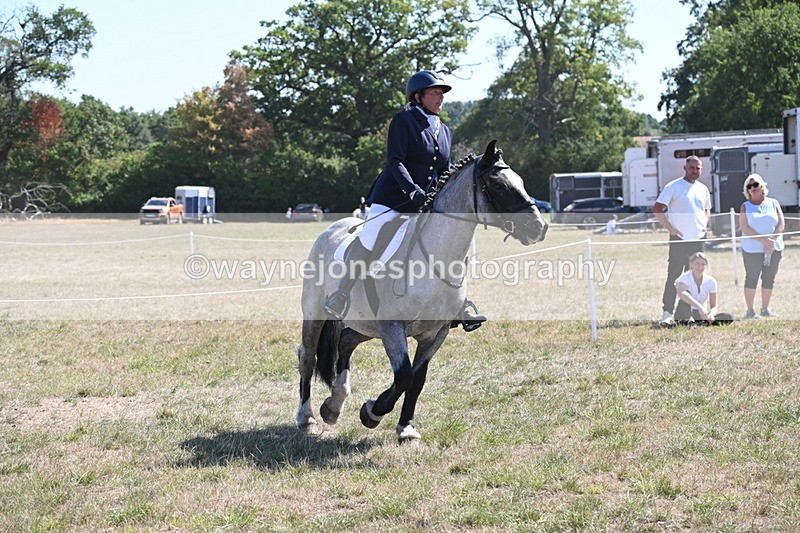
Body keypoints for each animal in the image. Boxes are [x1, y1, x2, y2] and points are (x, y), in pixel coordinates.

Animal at [296, 140, 549, 443]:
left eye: (520, 181)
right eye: (498, 185)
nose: (539, 227)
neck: (434, 262)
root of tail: (332, 228)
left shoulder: (434, 334)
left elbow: (417, 379)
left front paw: (406, 427)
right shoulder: (393, 328)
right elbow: (404, 375)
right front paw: (372, 412)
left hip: (367, 324)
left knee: (346, 341)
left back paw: (334, 406)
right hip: (316, 313)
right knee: (307, 356)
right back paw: (306, 417)